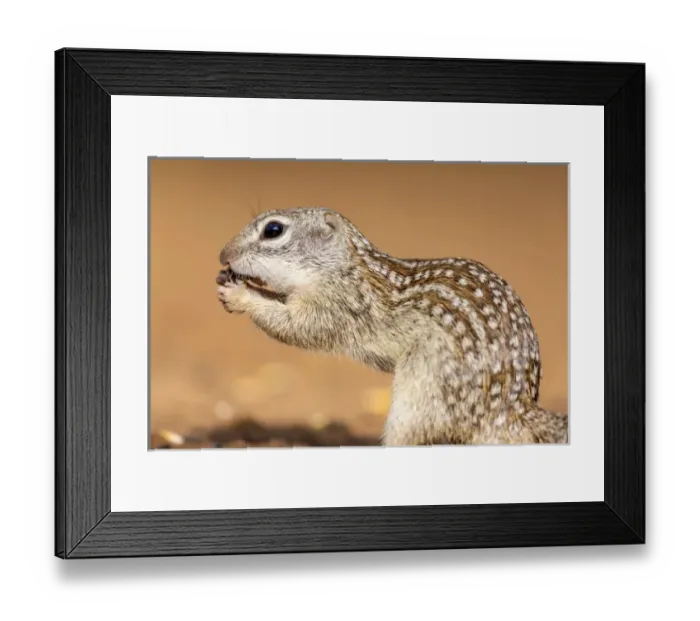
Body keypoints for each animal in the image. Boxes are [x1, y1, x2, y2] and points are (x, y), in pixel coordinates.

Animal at [216, 207, 568, 446]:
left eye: (273, 230)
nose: (223, 254)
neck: (343, 266)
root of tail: (515, 410)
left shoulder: (338, 304)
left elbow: (297, 326)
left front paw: (240, 295)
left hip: (417, 401)